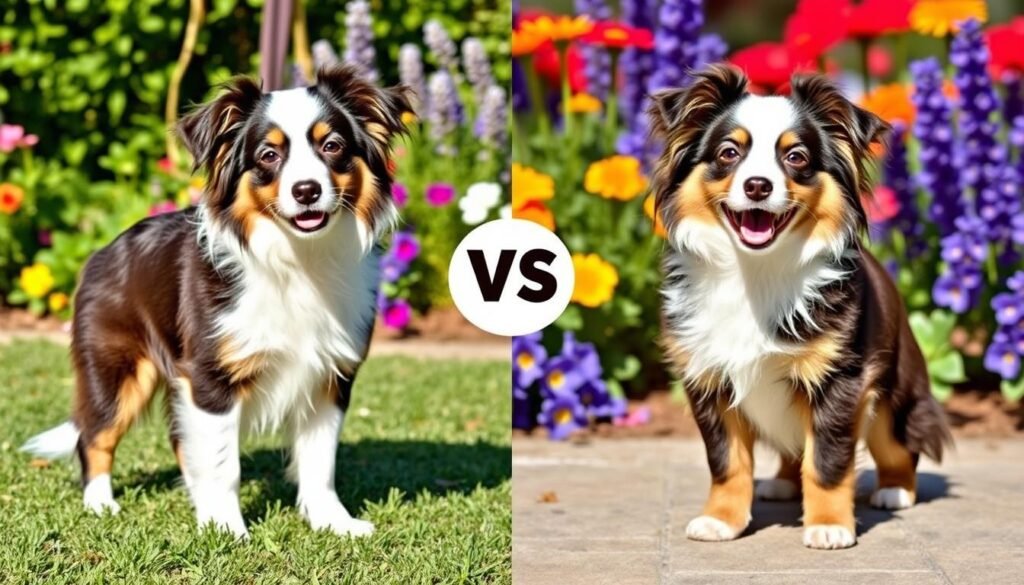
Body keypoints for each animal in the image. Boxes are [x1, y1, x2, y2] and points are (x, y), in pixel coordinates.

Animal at [24, 65, 407, 540]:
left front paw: (331, 520)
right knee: (95, 434)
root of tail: (100, 252)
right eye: (268, 155)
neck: (298, 259)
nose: (306, 191)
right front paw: (226, 527)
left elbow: (320, 462)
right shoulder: (210, 376)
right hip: (116, 369)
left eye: (332, 146)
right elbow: (225, 464)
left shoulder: (330, 376)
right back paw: (100, 503)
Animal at [647, 66, 950, 553]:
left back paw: (895, 489)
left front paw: (829, 526)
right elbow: (727, 461)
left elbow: (827, 459)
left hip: (894, 389)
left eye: (796, 157)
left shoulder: (838, 380)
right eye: (729, 153)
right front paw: (722, 520)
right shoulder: (708, 379)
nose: (757, 185)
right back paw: (784, 482)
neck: (756, 271)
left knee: (897, 441)